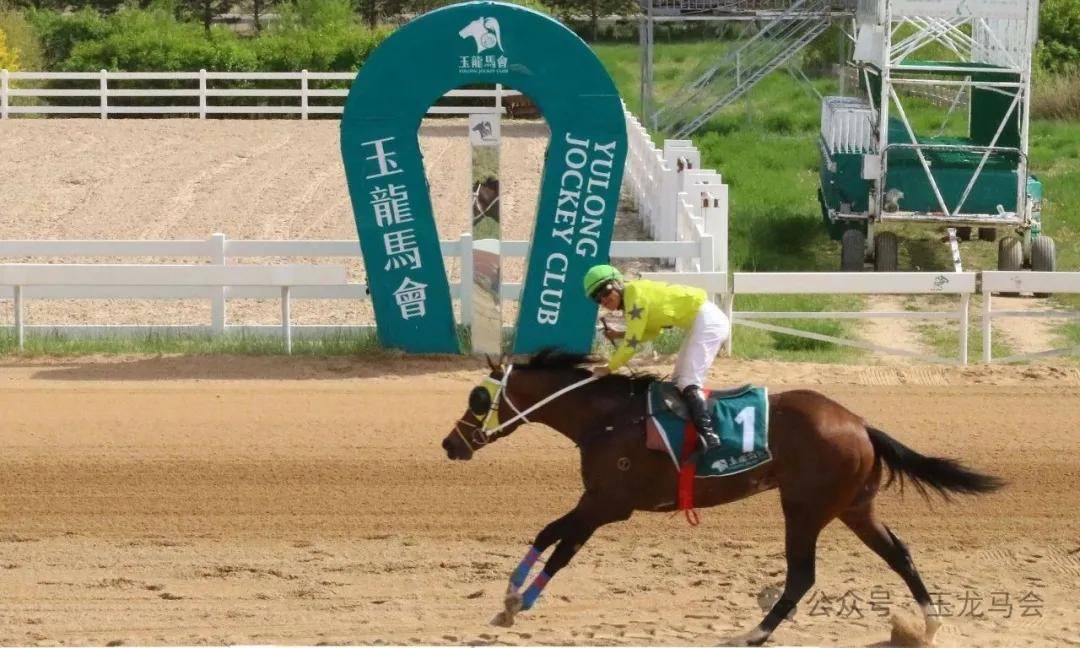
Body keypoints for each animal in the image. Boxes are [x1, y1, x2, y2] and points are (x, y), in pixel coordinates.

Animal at [441, 351, 1004, 646]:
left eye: (478, 398)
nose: (450, 444)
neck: (607, 418)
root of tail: (860, 423)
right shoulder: (597, 499)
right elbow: (547, 534)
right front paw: (508, 596)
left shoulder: (608, 504)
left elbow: (563, 549)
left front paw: (519, 602)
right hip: (852, 507)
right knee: (899, 554)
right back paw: (929, 622)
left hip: (804, 508)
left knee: (802, 576)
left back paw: (753, 632)